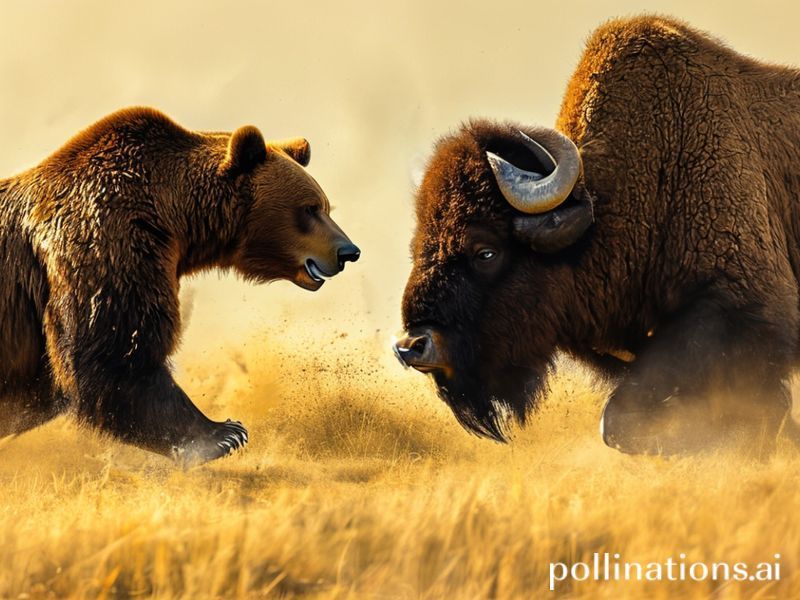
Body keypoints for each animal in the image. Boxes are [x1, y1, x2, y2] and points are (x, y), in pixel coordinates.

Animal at [0, 107, 360, 465]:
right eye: (309, 208)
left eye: (326, 206)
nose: (348, 251)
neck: (176, 216)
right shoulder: (111, 239)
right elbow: (117, 351)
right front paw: (223, 433)